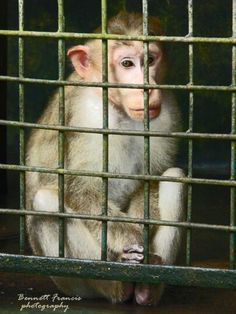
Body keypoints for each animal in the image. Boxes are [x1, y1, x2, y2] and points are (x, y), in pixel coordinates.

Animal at [24, 12, 185, 306]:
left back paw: (147, 286)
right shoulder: (85, 114)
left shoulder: (166, 112)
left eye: (150, 60)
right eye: (126, 63)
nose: (147, 88)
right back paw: (118, 281)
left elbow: (153, 179)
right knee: (45, 202)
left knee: (175, 178)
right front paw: (131, 239)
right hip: (73, 283)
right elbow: (80, 185)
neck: (116, 109)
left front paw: (143, 237)